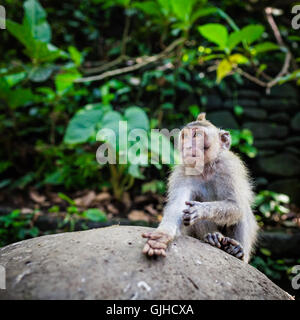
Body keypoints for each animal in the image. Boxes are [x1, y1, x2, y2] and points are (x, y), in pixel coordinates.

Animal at [142, 112, 258, 262]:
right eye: (185, 137)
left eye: (197, 135)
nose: (188, 147)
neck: (206, 168)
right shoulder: (183, 173)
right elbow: (178, 207)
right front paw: (160, 238)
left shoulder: (228, 167)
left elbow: (236, 205)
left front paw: (201, 210)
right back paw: (213, 237)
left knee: (242, 210)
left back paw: (237, 250)